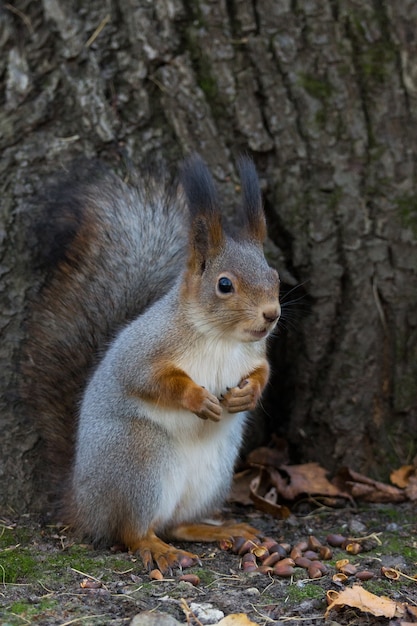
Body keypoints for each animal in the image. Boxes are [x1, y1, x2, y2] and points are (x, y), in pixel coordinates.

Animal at [20, 152, 280, 572]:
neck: (222, 339)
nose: (271, 315)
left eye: (273, 275)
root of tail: (83, 502)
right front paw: (198, 399)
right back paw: (158, 549)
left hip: (212, 474)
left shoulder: (254, 354)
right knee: (132, 531)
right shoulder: (145, 350)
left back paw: (216, 529)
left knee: (174, 524)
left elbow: (262, 372)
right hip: (141, 460)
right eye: (225, 284)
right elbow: (149, 380)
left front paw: (246, 396)